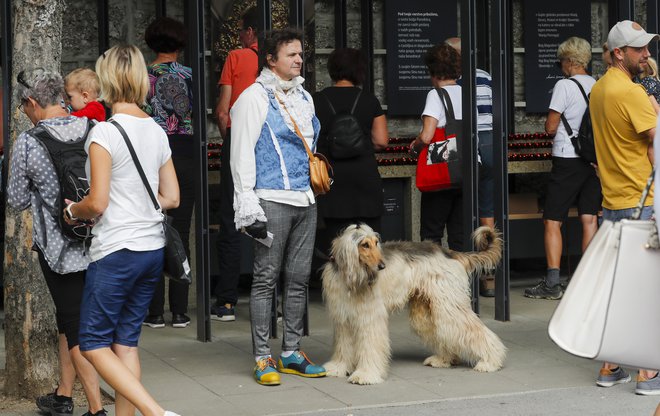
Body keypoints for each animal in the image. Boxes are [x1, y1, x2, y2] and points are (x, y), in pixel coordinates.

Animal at [322, 226, 508, 386]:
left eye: (376, 243)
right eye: (364, 245)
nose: (382, 266)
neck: (352, 278)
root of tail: (448, 252)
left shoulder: (370, 317)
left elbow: (371, 345)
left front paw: (366, 374)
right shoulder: (343, 317)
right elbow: (343, 346)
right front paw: (338, 367)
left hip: (448, 303)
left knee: (471, 328)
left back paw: (491, 361)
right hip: (426, 308)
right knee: (443, 330)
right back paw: (444, 359)